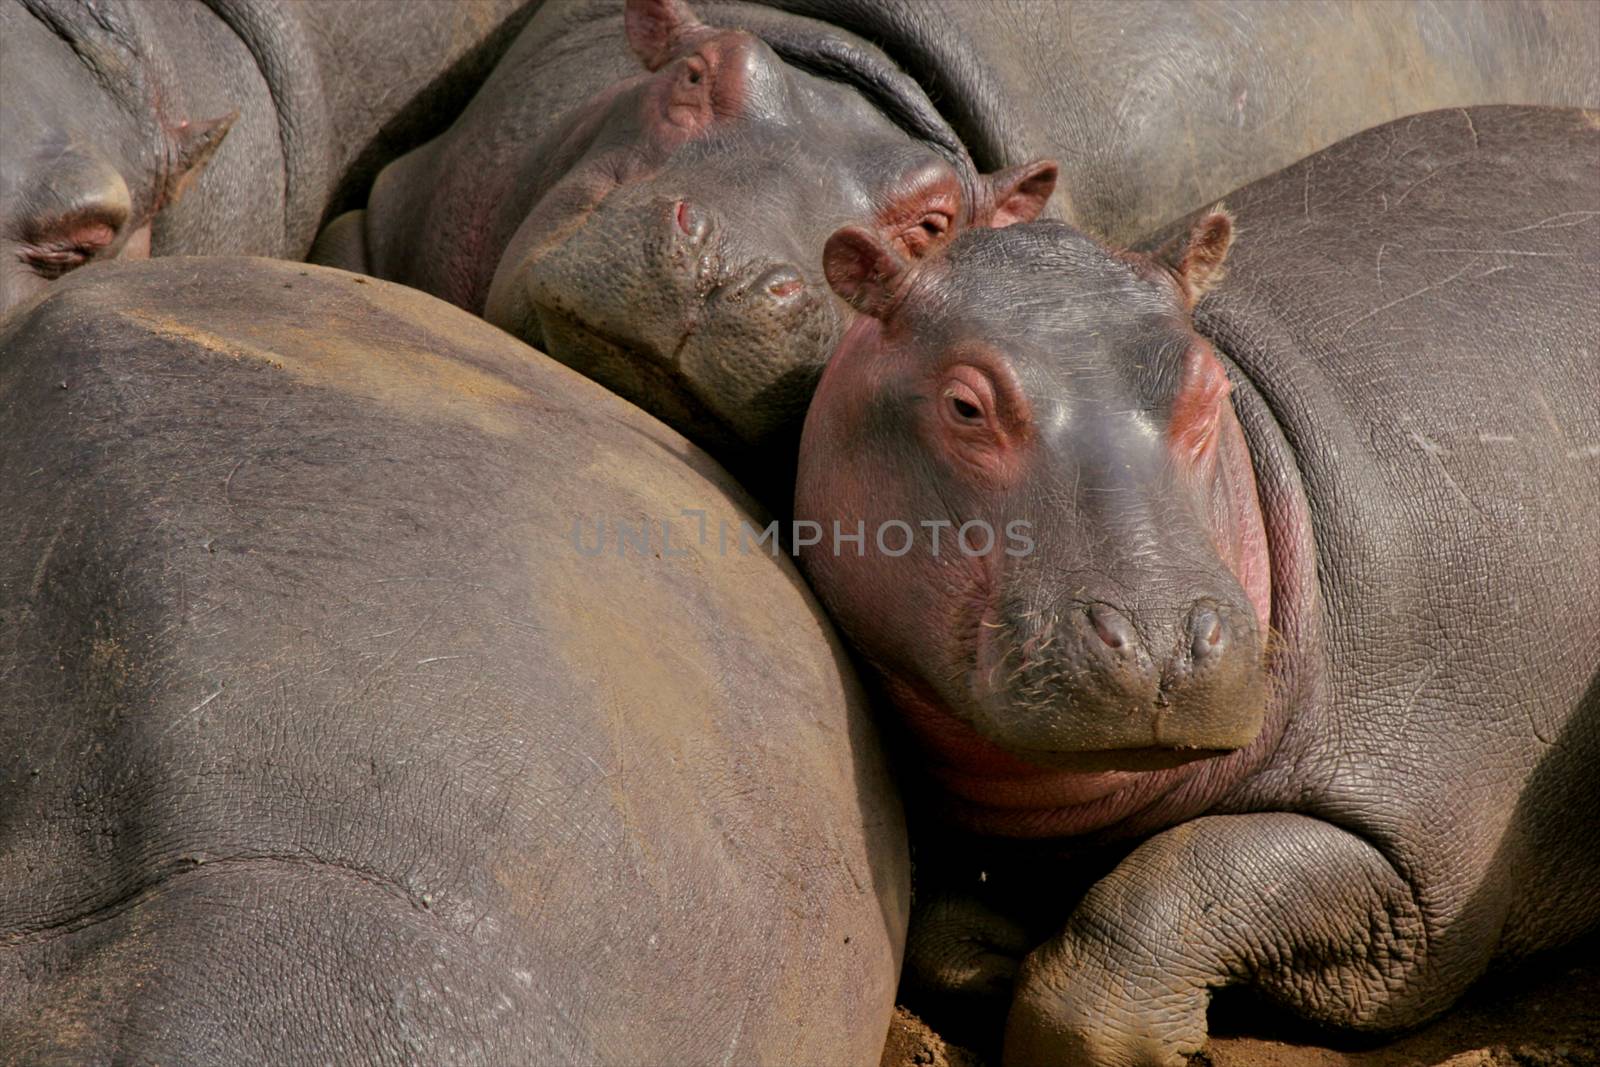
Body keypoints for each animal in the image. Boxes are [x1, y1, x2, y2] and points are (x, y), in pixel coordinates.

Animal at [793, 102, 1600, 1067]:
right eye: (963, 405)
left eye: (1211, 384)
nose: (1159, 644)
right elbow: (941, 932)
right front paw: (1001, 958)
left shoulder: (1425, 878)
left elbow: (1172, 888)